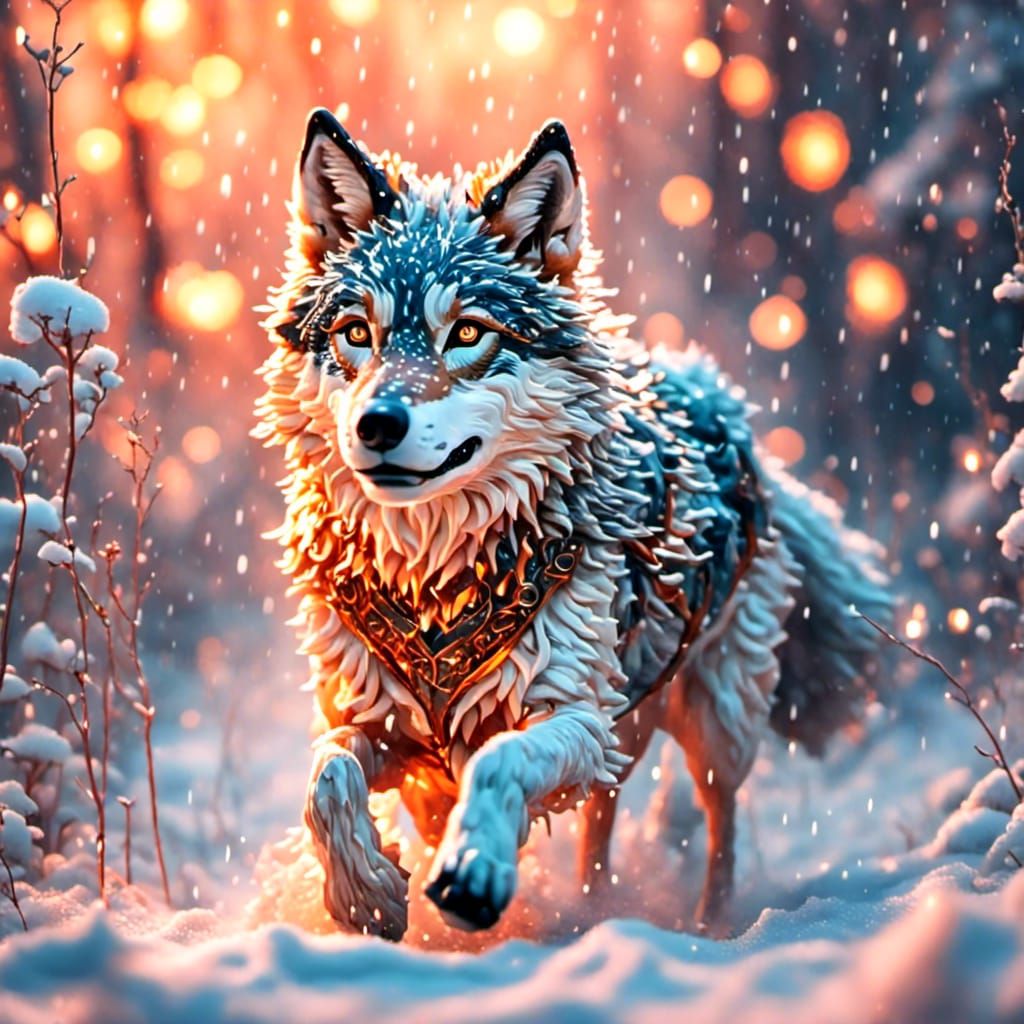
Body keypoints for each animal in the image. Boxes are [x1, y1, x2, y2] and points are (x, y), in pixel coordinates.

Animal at [255, 108, 891, 941]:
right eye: (357, 333)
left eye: (468, 334)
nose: (379, 424)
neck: (436, 585)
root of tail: (715, 389)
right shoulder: (374, 719)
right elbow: (325, 780)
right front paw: (367, 894)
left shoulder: (572, 716)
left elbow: (495, 765)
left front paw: (472, 874)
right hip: (630, 722)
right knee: (605, 816)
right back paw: (593, 909)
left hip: (715, 720)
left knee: (719, 819)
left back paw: (708, 926)